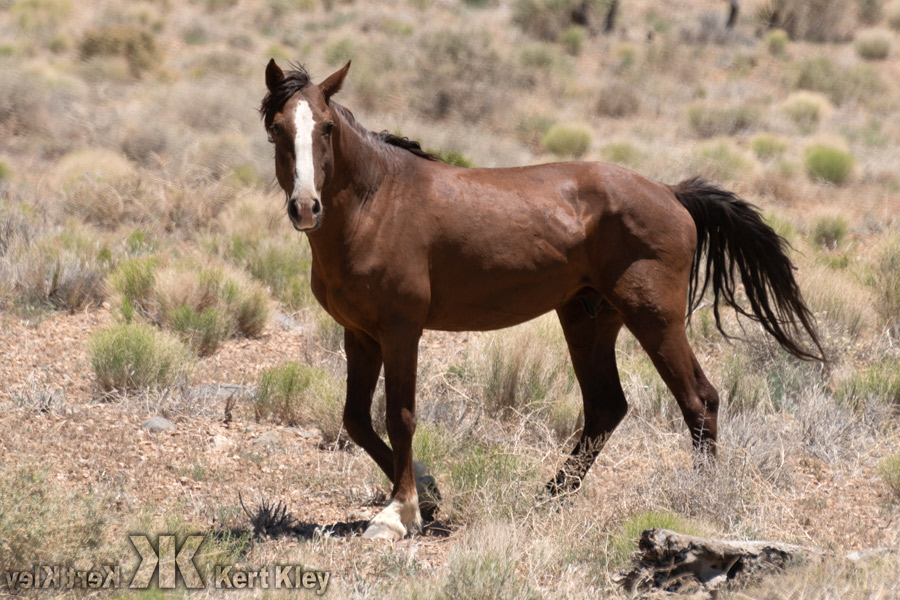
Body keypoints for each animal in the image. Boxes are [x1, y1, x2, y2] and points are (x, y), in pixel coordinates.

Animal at [259, 59, 824, 540]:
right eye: (278, 129)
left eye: (326, 128)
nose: (306, 207)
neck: (378, 204)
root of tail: (671, 192)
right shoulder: (360, 334)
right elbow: (356, 419)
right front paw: (432, 494)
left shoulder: (401, 331)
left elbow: (399, 416)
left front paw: (399, 514)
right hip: (589, 320)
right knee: (606, 408)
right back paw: (549, 497)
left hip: (655, 318)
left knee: (699, 400)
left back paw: (700, 499)